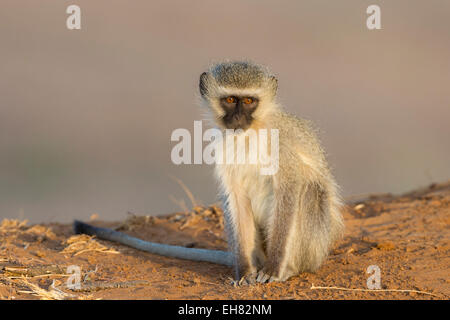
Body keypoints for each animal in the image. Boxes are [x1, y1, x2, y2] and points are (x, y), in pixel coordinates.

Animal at [74, 61, 342, 284]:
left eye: (248, 101)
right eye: (230, 100)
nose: (237, 118)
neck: (249, 132)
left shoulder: (282, 144)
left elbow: (289, 189)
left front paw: (274, 269)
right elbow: (235, 196)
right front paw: (244, 272)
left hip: (313, 251)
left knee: (310, 192)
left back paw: (287, 269)